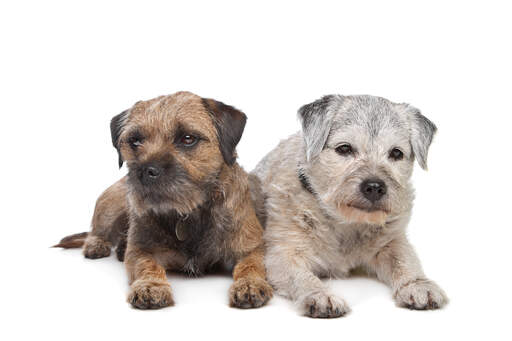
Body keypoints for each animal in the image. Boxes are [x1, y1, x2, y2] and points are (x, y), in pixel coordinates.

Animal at [54, 90, 274, 308]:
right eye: (135, 140)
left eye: (188, 138)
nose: (146, 171)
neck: (189, 213)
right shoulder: (141, 251)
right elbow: (147, 265)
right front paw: (151, 286)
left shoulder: (253, 247)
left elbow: (250, 265)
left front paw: (249, 284)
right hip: (111, 205)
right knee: (96, 230)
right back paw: (96, 245)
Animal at [252, 93, 448, 316]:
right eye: (344, 148)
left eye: (396, 153)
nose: (375, 187)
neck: (345, 221)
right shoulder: (283, 255)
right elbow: (303, 277)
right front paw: (320, 295)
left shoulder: (392, 241)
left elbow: (404, 260)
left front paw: (417, 284)